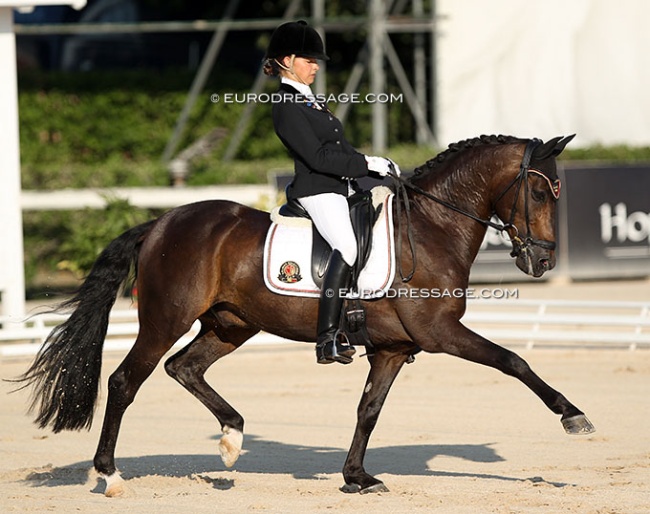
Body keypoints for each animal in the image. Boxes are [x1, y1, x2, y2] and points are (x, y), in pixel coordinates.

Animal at [14, 134, 594, 497]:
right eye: (539, 190)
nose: (542, 261)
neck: (431, 226)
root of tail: (160, 222)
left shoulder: (394, 349)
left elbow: (368, 410)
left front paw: (357, 477)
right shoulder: (441, 333)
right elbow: (514, 361)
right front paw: (573, 416)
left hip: (231, 324)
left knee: (185, 368)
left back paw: (232, 439)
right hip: (165, 321)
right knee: (125, 381)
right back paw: (110, 475)